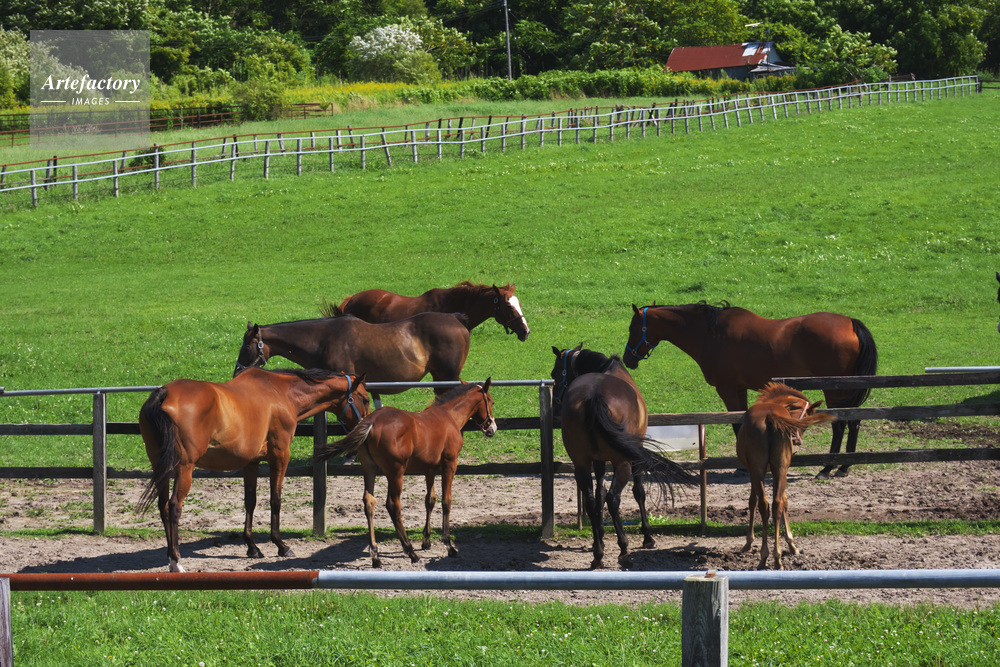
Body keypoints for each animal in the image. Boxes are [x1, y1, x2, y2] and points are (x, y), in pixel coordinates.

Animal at [136, 367, 370, 572]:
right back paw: (176, 561)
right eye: (365, 399)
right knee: (174, 506)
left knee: (163, 506)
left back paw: (170, 556)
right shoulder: (280, 456)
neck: (280, 393)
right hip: (184, 467)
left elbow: (250, 501)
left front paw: (252, 547)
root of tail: (164, 393)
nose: (368, 426)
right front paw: (281, 545)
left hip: (161, 465)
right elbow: (275, 499)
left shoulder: (251, 462)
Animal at [315, 380, 496, 568]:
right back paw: (411, 552)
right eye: (491, 402)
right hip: (396, 472)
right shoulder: (449, 464)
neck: (449, 417)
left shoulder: (430, 469)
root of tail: (371, 421)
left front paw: (426, 541)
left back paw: (376, 555)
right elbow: (446, 500)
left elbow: (430, 500)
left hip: (369, 468)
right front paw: (448, 545)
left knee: (369, 502)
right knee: (393, 505)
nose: (492, 428)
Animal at [550, 345, 697, 569]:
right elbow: (638, 492)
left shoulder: (598, 460)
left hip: (581, 464)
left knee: (591, 500)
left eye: (555, 373)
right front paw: (647, 536)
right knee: (613, 499)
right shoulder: (635, 456)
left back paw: (598, 553)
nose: (556, 406)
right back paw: (624, 550)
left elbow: (599, 492)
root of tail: (594, 396)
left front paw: (600, 537)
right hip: (623, 463)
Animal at [623, 301, 877, 478]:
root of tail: (850, 322)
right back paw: (844, 467)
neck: (711, 334)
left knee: (841, 424)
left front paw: (743, 468)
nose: (627, 359)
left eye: (632, 328)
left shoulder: (727, 389)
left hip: (835, 390)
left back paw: (828, 467)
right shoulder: (739, 389)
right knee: (854, 422)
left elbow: (736, 424)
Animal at [737, 383, 835, 570]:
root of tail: (770, 416)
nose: (797, 441)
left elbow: (753, 502)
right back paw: (777, 557)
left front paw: (748, 542)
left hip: (759, 470)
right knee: (776, 504)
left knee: (765, 505)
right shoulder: (776, 472)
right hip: (780, 469)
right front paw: (791, 544)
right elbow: (784, 501)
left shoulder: (754, 472)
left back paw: (765, 556)